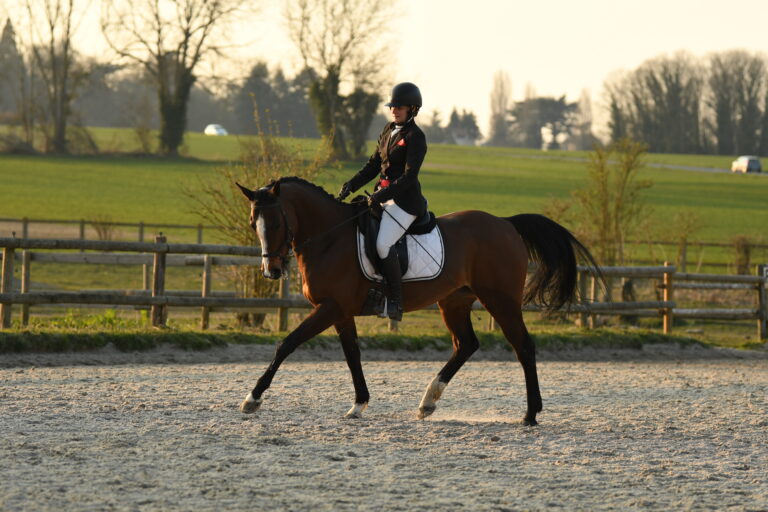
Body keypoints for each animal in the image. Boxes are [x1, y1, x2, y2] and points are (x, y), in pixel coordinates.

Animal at [236, 177, 601, 425]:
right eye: (254, 223)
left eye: (277, 221)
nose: (271, 271)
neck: (330, 237)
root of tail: (505, 223)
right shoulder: (340, 311)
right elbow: (352, 354)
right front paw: (359, 404)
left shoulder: (330, 308)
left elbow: (287, 343)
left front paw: (252, 398)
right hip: (454, 302)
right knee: (466, 344)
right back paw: (428, 402)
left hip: (501, 300)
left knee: (523, 346)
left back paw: (530, 414)